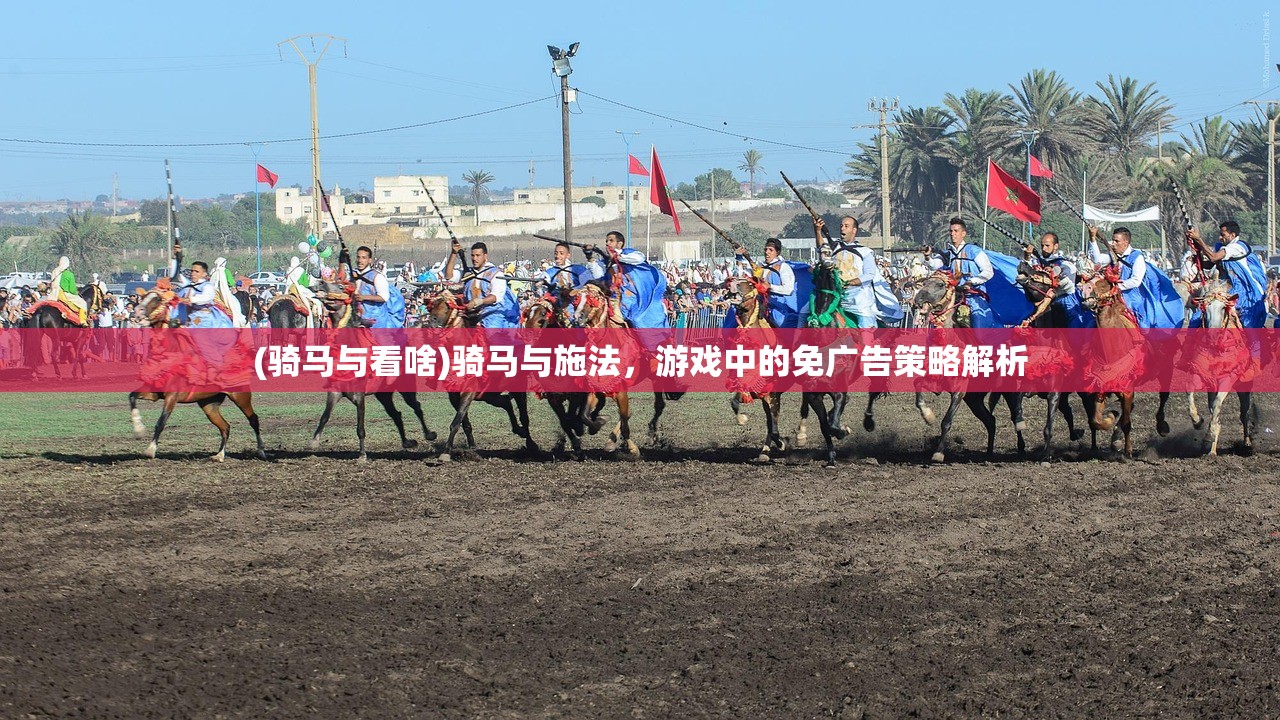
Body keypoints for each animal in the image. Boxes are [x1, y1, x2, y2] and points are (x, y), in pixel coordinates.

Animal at [128, 285, 267, 458]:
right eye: (144, 297)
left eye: (158, 299)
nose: (137, 312)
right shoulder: (153, 393)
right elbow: (132, 397)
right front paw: (139, 429)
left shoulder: (172, 396)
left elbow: (161, 422)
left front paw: (151, 449)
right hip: (209, 405)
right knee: (225, 426)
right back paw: (219, 455)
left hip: (240, 396)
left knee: (253, 419)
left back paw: (261, 450)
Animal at [264, 281, 435, 458]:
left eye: (340, 286)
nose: (320, 283)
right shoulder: (334, 393)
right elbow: (324, 417)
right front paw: (313, 442)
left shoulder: (359, 396)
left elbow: (360, 428)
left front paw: (362, 455)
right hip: (383, 394)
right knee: (396, 414)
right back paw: (407, 442)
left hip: (405, 389)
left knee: (416, 406)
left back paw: (429, 434)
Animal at [422, 284, 537, 458]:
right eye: (432, 305)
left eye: (448, 307)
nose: (430, 323)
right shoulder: (454, 395)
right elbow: (464, 423)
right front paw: (471, 446)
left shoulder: (468, 392)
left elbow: (456, 422)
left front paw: (446, 452)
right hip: (488, 394)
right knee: (505, 402)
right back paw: (519, 430)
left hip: (517, 388)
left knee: (524, 416)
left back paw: (530, 443)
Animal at [1182, 274, 1254, 453]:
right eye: (1205, 308)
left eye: (1223, 308)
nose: (1213, 336)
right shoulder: (1200, 373)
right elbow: (1190, 390)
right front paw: (1197, 421)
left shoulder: (1228, 377)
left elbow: (1217, 404)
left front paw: (1211, 433)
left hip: (1244, 385)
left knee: (1244, 412)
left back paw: (1246, 442)